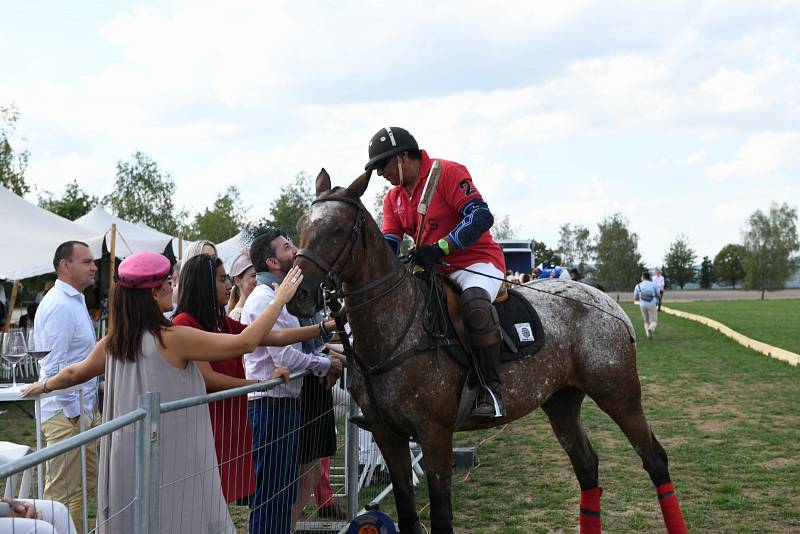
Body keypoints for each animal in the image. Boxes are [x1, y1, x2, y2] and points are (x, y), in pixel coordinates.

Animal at [288, 169, 688, 534]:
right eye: (301, 226)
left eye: (338, 230)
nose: (299, 295)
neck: (395, 329)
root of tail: (609, 303)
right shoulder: (389, 436)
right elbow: (408, 516)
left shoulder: (434, 435)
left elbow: (442, 517)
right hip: (561, 400)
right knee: (587, 466)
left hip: (619, 395)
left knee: (654, 458)